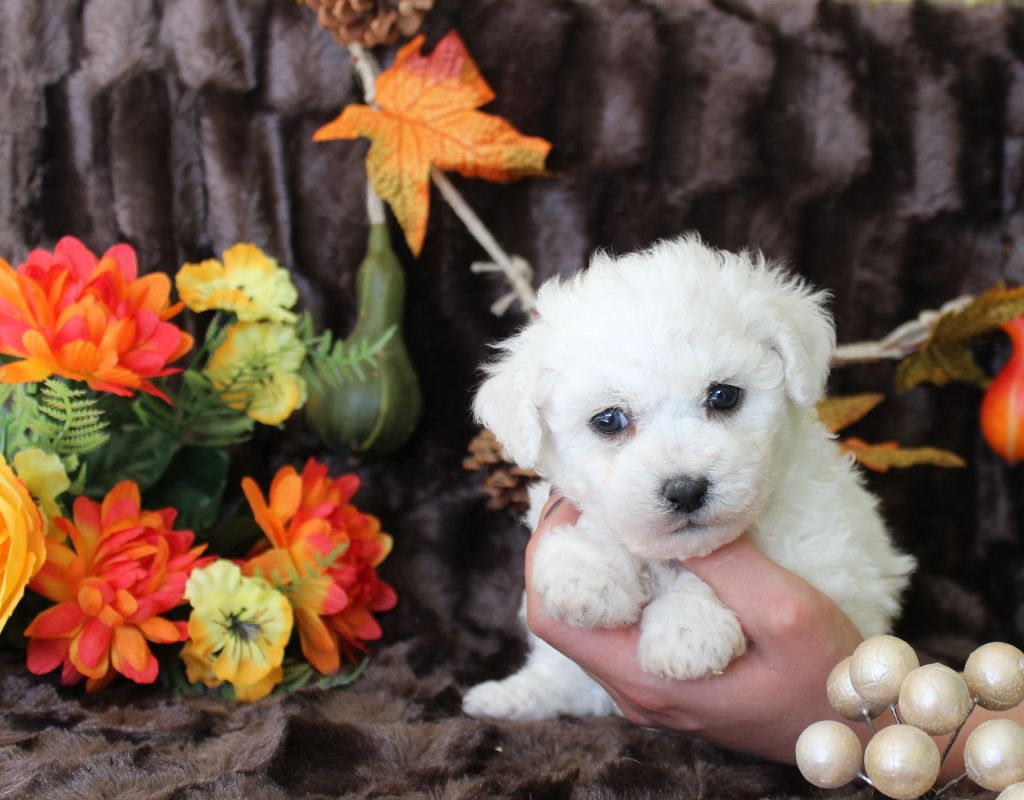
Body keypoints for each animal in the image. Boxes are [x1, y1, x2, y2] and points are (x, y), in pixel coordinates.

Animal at [460, 234, 917, 721]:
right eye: (609, 420)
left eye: (723, 396)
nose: (685, 490)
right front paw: (587, 570)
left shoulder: (831, 564)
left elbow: (701, 579)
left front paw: (687, 630)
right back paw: (506, 697)